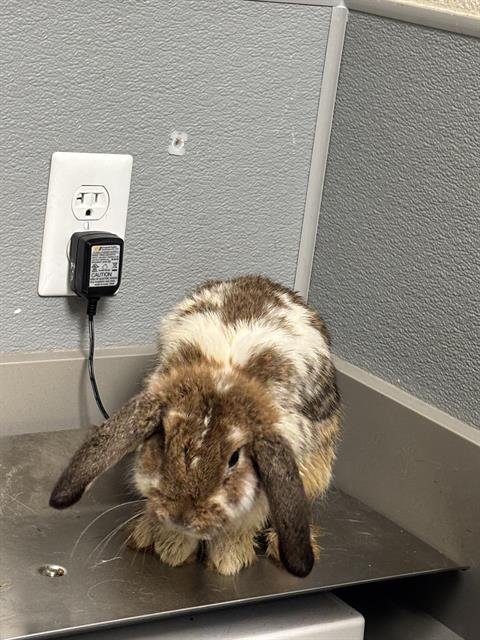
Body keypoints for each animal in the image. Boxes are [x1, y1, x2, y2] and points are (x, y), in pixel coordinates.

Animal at [50, 275, 341, 577]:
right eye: (163, 440)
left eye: (234, 459)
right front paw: (171, 549)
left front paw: (228, 562)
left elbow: (239, 526)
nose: (181, 516)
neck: (224, 373)